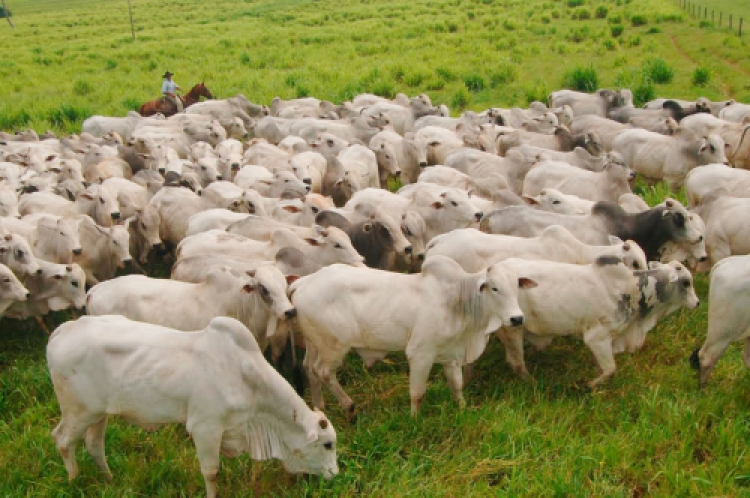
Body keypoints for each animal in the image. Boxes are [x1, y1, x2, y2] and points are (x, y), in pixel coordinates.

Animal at [46, 316, 338, 498]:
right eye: (327, 444)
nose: (334, 474)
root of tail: (62, 331)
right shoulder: (205, 429)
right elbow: (212, 472)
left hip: (99, 414)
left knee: (94, 444)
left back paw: (108, 479)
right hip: (78, 412)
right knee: (62, 440)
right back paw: (73, 481)